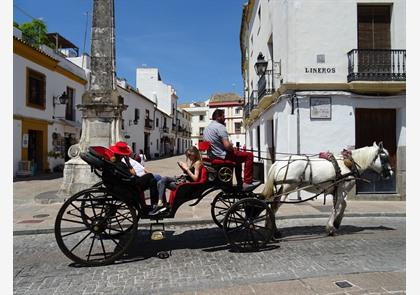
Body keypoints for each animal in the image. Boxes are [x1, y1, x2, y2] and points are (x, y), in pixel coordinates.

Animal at [260, 142, 392, 237]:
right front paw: (331, 227)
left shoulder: (337, 189)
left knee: (271, 207)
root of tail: (278, 163)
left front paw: (337, 222)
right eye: (385, 158)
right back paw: (274, 231)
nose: (390, 173)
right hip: (286, 188)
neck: (348, 164)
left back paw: (270, 228)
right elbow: (337, 205)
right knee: (274, 207)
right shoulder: (341, 188)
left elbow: (342, 204)